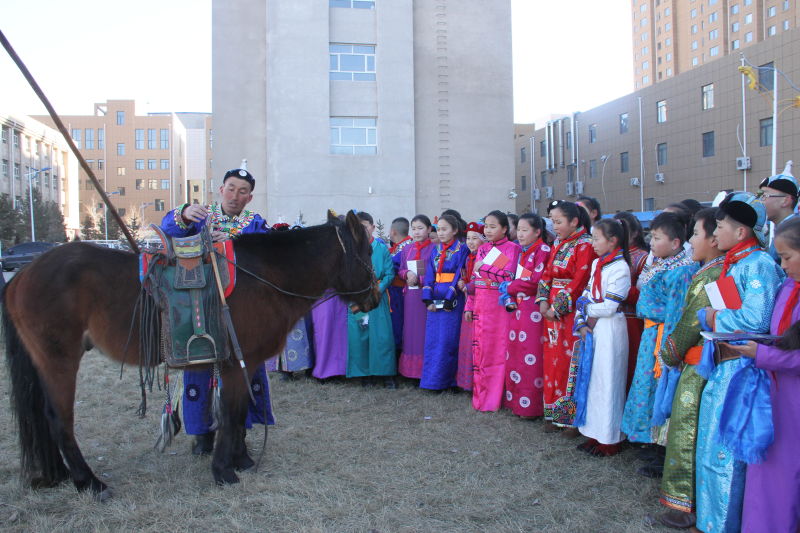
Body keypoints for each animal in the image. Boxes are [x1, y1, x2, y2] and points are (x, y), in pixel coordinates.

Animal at [2, 209, 378, 498]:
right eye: (368, 253)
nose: (374, 296)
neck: (265, 276)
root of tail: (22, 273)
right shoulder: (236, 363)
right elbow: (231, 414)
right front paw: (224, 470)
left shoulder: (243, 363)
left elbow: (239, 414)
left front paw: (239, 459)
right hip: (59, 360)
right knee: (58, 418)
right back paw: (90, 483)